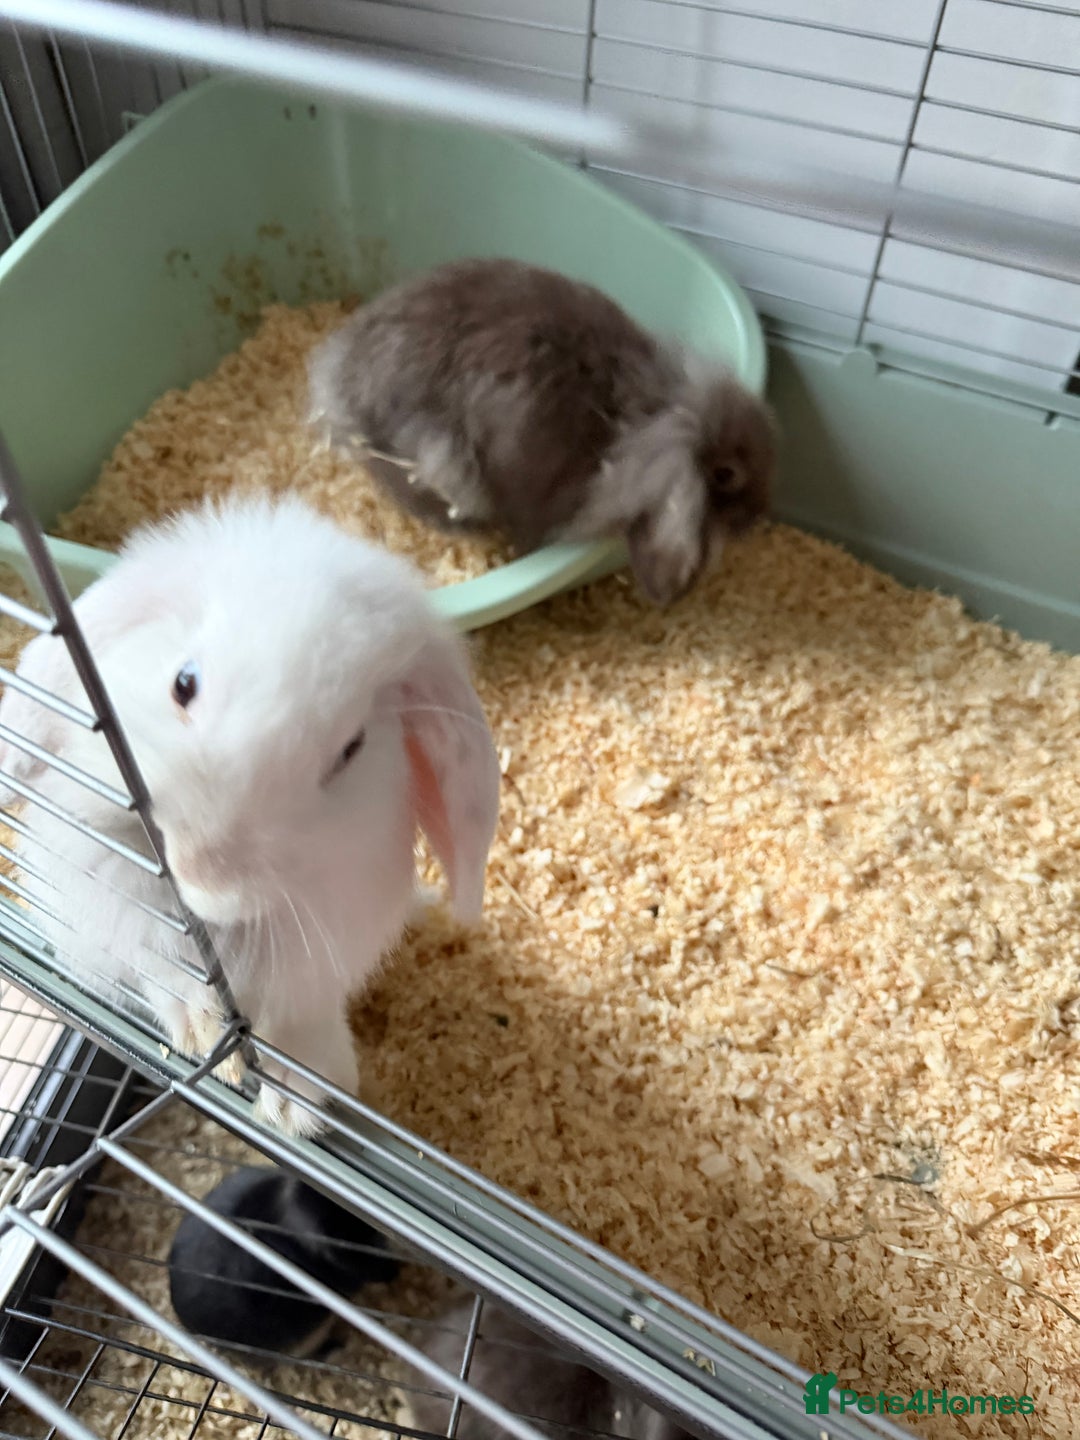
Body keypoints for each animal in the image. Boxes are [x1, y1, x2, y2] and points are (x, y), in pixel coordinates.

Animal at [0, 493, 501, 1137]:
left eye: (351, 748)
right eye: (183, 684)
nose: (206, 873)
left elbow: (284, 1018)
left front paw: (290, 1105)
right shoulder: (120, 907)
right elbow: (165, 970)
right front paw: (200, 1031)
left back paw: (299, 1103)